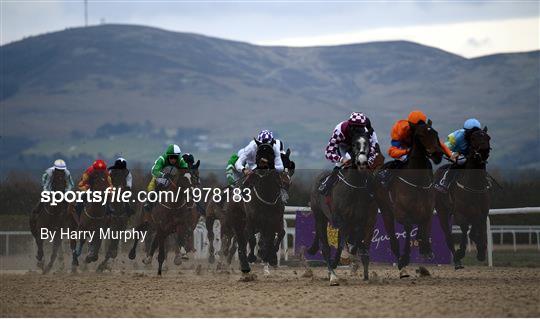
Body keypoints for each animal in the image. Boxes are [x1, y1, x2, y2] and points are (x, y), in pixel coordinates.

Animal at [308, 129, 380, 286]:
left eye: (367, 143)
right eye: (354, 144)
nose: (362, 162)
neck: (354, 187)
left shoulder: (362, 220)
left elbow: (356, 239)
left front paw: (354, 252)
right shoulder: (341, 220)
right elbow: (341, 244)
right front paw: (339, 261)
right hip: (320, 217)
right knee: (325, 248)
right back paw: (333, 275)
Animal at [374, 119, 446, 278]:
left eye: (435, 133)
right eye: (420, 135)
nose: (437, 153)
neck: (417, 182)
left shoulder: (427, 210)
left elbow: (424, 227)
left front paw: (426, 249)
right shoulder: (400, 212)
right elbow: (408, 228)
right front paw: (406, 257)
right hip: (386, 211)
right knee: (393, 241)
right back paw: (401, 265)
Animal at [436, 127, 492, 270]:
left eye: (488, 137)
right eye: (473, 138)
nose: (484, 151)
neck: (474, 184)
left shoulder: (482, 213)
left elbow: (475, 231)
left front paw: (481, 251)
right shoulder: (460, 213)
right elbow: (465, 229)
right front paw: (460, 252)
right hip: (442, 211)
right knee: (448, 236)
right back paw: (457, 261)